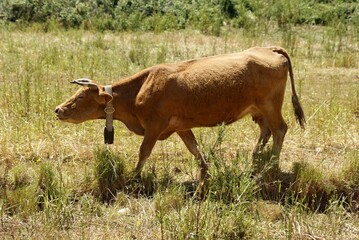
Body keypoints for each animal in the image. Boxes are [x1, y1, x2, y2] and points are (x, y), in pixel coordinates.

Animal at [54, 46, 306, 181]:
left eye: (80, 97)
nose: (58, 109)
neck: (138, 91)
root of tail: (268, 48)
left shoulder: (154, 126)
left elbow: (143, 152)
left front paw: (134, 176)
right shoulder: (182, 127)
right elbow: (194, 149)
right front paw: (205, 172)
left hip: (270, 106)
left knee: (279, 129)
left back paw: (271, 165)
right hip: (258, 110)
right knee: (266, 130)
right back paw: (255, 159)